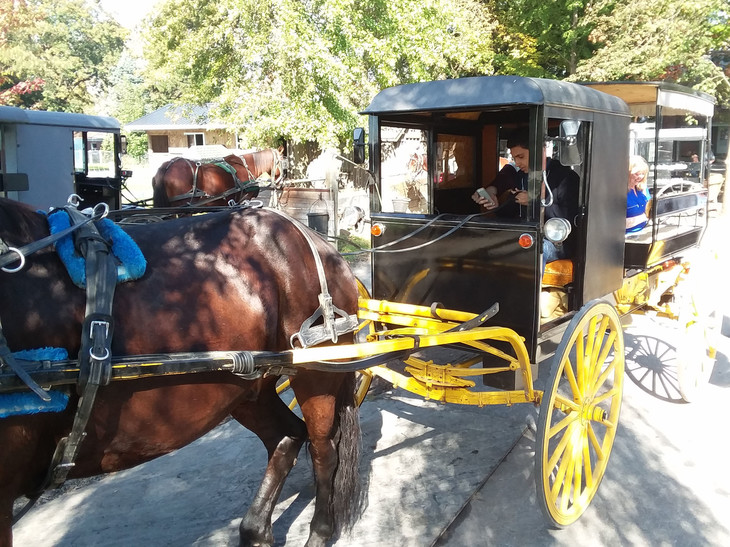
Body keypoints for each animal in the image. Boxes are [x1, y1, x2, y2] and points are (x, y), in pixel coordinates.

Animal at [0, 199, 362, 544]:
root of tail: (316, 240)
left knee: (324, 451)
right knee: (286, 438)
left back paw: (318, 531)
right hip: (246, 386)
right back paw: (255, 531)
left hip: (317, 373)